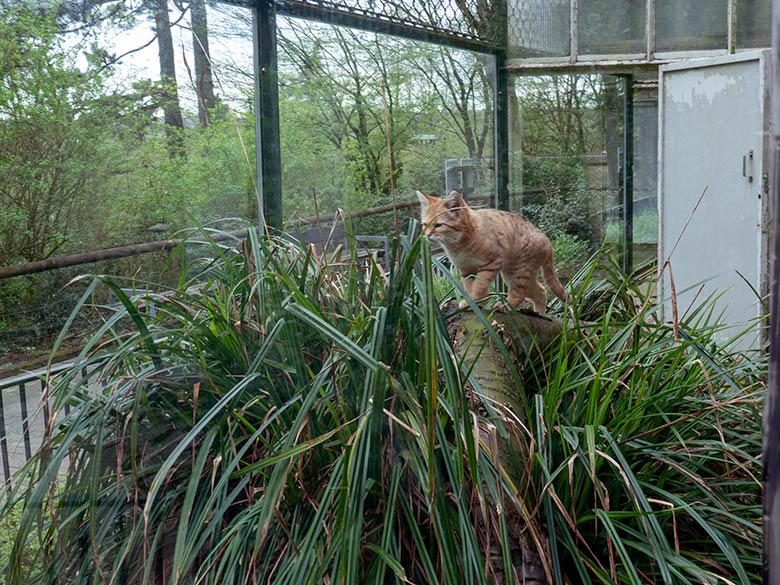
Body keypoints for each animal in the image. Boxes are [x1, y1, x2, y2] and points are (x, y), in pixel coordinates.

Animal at [418, 189, 568, 312]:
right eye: (425, 225)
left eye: (438, 225)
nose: (427, 235)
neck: (461, 243)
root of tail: (547, 240)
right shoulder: (466, 270)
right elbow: (469, 287)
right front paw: (473, 303)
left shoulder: (490, 264)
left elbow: (478, 287)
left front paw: (474, 301)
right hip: (518, 274)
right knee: (541, 292)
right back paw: (540, 314)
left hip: (518, 272)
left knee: (520, 293)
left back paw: (505, 306)